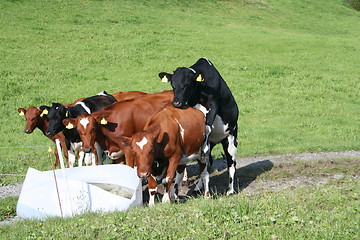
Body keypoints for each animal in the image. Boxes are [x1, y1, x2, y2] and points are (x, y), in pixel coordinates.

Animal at [158, 57, 239, 196]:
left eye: (186, 84)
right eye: (173, 85)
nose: (176, 102)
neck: (199, 91)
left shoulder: (213, 107)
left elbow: (207, 126)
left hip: (231, 137)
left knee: (231, 163)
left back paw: (230, 190)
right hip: (213, 142)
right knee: (207, 163)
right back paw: (198, 186)